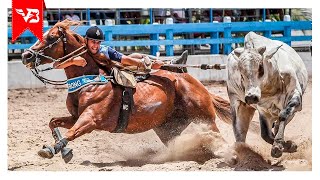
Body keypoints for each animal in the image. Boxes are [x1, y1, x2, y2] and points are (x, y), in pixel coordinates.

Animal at [20, 19, 230, 163]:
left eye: (51, 37)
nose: (25, 55)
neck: (91, 80)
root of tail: (195, 83)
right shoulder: (75, 116)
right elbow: (53, 122)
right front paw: (63, 151)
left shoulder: (90, 119)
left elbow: (72, 132)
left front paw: (52, 150)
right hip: (167, 128)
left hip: (205, 119)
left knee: (218, 137)